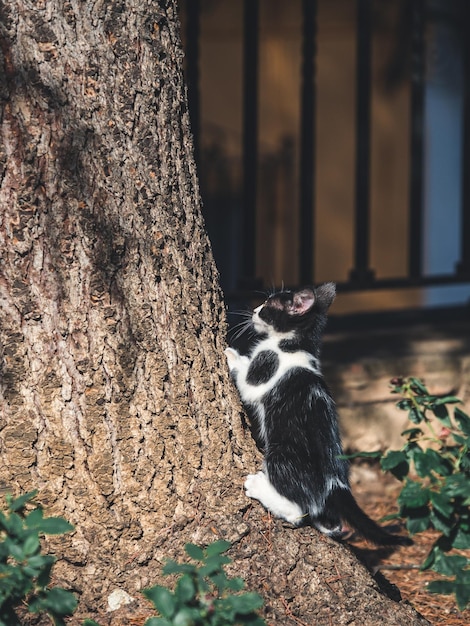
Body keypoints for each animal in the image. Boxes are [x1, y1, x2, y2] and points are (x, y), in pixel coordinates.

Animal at [224, 280, 412, 544]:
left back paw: (258, 487)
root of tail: (337, 484)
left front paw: (230, 353)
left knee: (298, 510)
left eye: (269, 306)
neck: (292, 345)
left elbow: (245, 376)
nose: (254, 310)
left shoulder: (263, 370)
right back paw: (329, 526)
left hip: (282, 455)